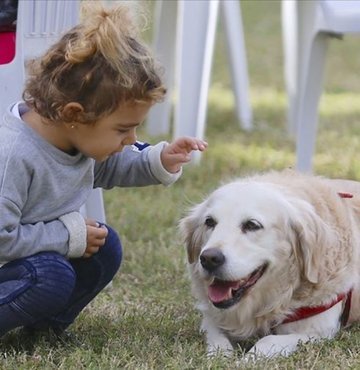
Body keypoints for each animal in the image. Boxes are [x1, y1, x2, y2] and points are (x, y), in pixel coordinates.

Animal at [180, 172, 360, 360]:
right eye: (209, 222)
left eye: (252, 225)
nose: (208, 259)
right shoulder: (211, 317)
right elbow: (217, 339)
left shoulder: (319, 331)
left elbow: (268, 340)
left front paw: (246, 360)